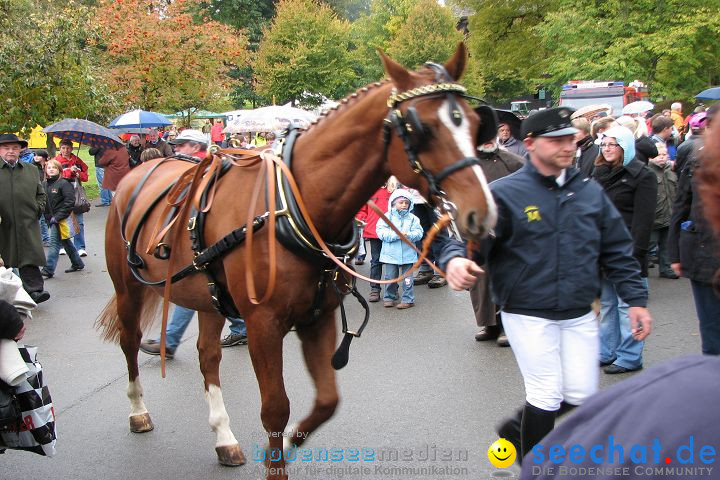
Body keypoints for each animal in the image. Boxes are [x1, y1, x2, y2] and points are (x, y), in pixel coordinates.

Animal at [97, 43, 496, 478]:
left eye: (476, 123)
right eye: (421, 128)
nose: (483, 212)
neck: (291, 206)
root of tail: (144, 168)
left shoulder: (317, 318)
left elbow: (326, 402)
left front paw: (288, 445)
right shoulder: (263, 325)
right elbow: (275, 408)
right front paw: (277, 461)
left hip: (208, 296)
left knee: (208, 355)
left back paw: (224, 438)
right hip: (129, 287)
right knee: (130, 341)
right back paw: (138, 411)